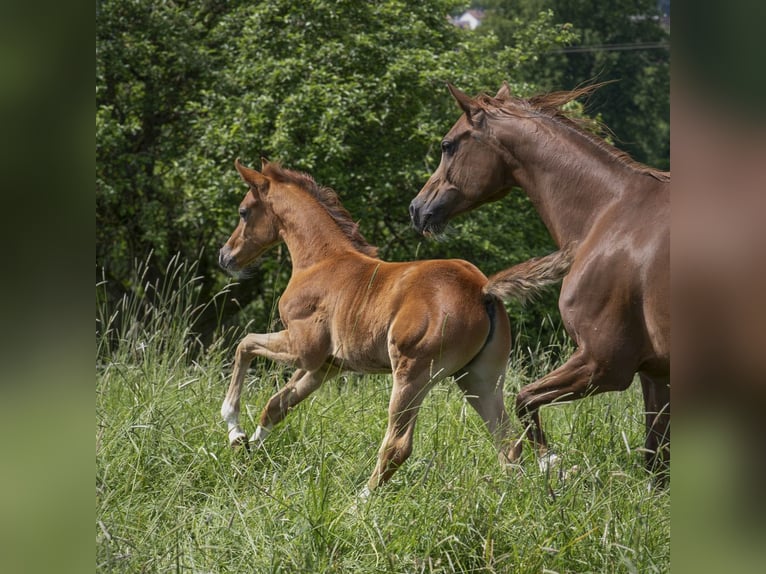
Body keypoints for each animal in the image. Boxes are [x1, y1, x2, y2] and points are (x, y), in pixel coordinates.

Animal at [218, 159, 573, 495]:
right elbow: (276, 405)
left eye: (243, 212)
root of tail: (482, 289)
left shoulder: (304, 349)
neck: (321, 262)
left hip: (411, 374)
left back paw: (358, 504)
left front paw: (234, 428)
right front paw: (246, 453)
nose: (225, 256)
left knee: (398, 446)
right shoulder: (326, 367)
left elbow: (245, 344)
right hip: (478, 378)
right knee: (507, 442)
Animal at [409, 83, 670, 477]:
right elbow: (657, 464)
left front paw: (550, 463)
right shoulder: (654, 373)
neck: (608, 215)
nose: (416, 209)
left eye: (447, 145)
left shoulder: (604, 364)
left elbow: (524, 398)